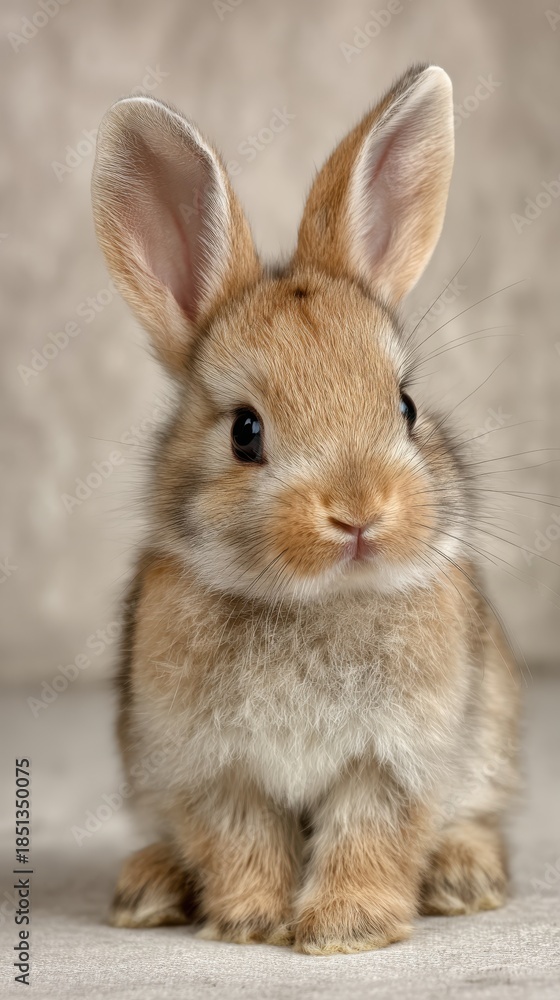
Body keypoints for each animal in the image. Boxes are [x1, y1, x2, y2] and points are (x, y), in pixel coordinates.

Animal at [91, 63, 520, 954]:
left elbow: (371, 835)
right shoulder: (212, 769)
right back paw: (148, 889)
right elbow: (242, 840)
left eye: (406, 406)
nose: (359, 512)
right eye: (245, 432)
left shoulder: (395, 762)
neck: (315, 602)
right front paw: (251, 924)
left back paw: (464, 877)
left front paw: (342, 929)